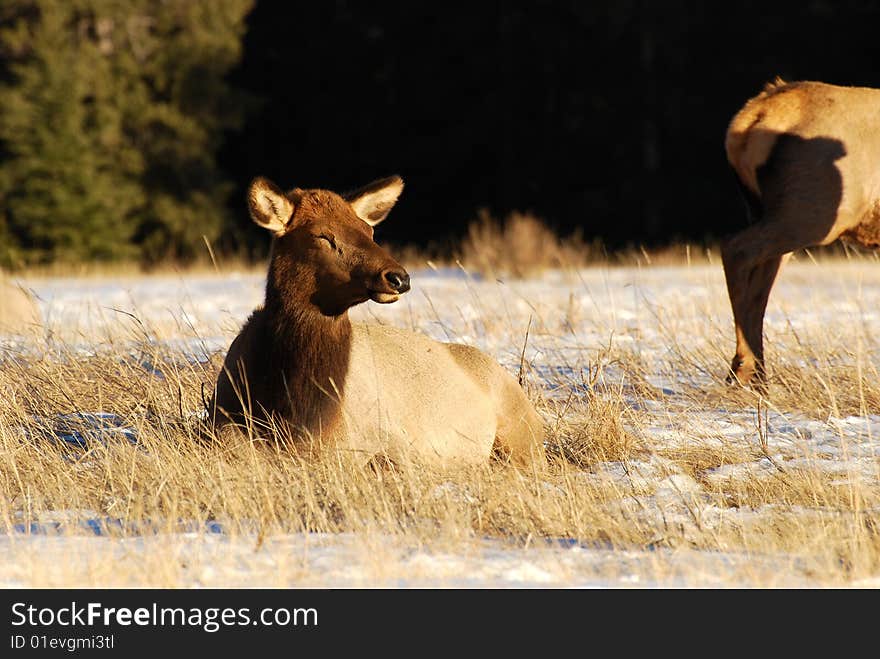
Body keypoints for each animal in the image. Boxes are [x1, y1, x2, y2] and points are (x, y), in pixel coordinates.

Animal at [720, 77, 880, 386]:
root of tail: (747, 122)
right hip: (816, 211)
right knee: (736, 248)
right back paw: (746, 370)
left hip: (772, 209)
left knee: (759, 283)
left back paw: (751, 373)